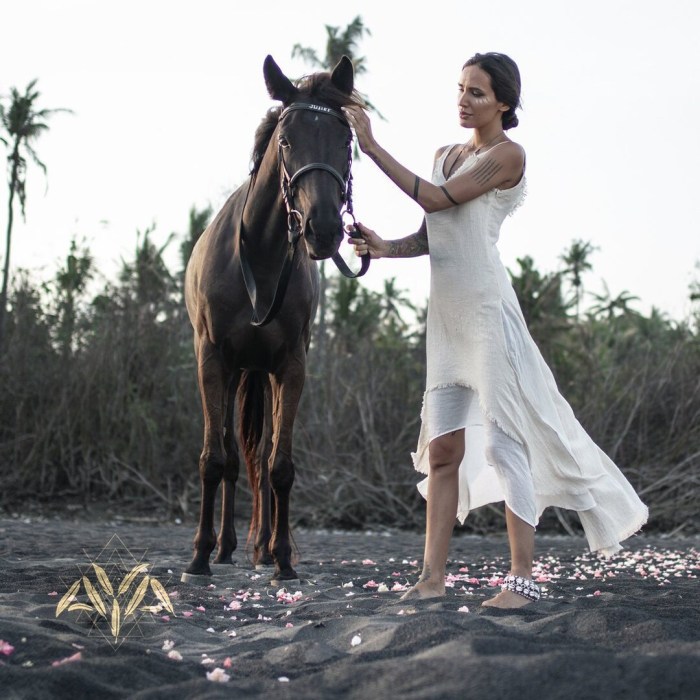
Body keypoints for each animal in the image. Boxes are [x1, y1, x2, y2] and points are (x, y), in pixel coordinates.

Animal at [183, 54, 360, 580]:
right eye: (286, 141)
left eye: (346, 142)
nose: (324, 229)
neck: (259, 257)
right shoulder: (212, 361)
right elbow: (213, 459)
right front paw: (199, 556)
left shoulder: (291, 366)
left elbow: (279, 466)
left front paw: (282, 558)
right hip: (235, 372)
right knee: (232, 455)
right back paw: (223, 547)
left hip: (261, 374)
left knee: (259, 457)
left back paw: (260, 547)